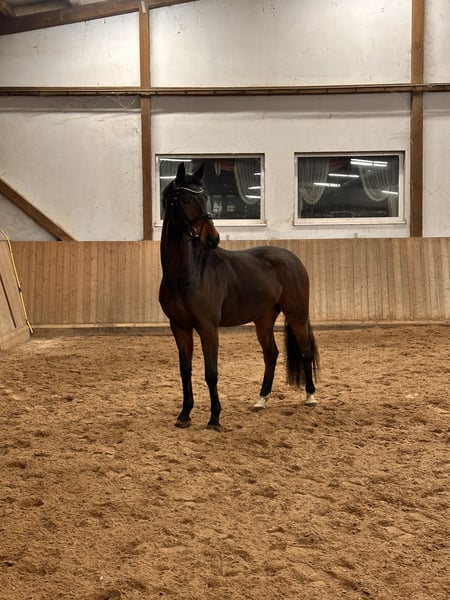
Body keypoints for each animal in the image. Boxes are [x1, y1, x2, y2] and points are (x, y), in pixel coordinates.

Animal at [159, 162, 319, 432]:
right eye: (186, 199)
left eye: (205, 197)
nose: (212, 238)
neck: (187, 273)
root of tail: (292, 259)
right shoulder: (179, 327)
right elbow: (185, 370)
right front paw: (184, 414)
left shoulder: (208, 327)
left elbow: (211, 373)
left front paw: (214, 419)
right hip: (263, 319)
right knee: (271, 354)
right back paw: (261, 400)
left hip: (296, 315)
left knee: (305, 351)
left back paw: (310, 397)